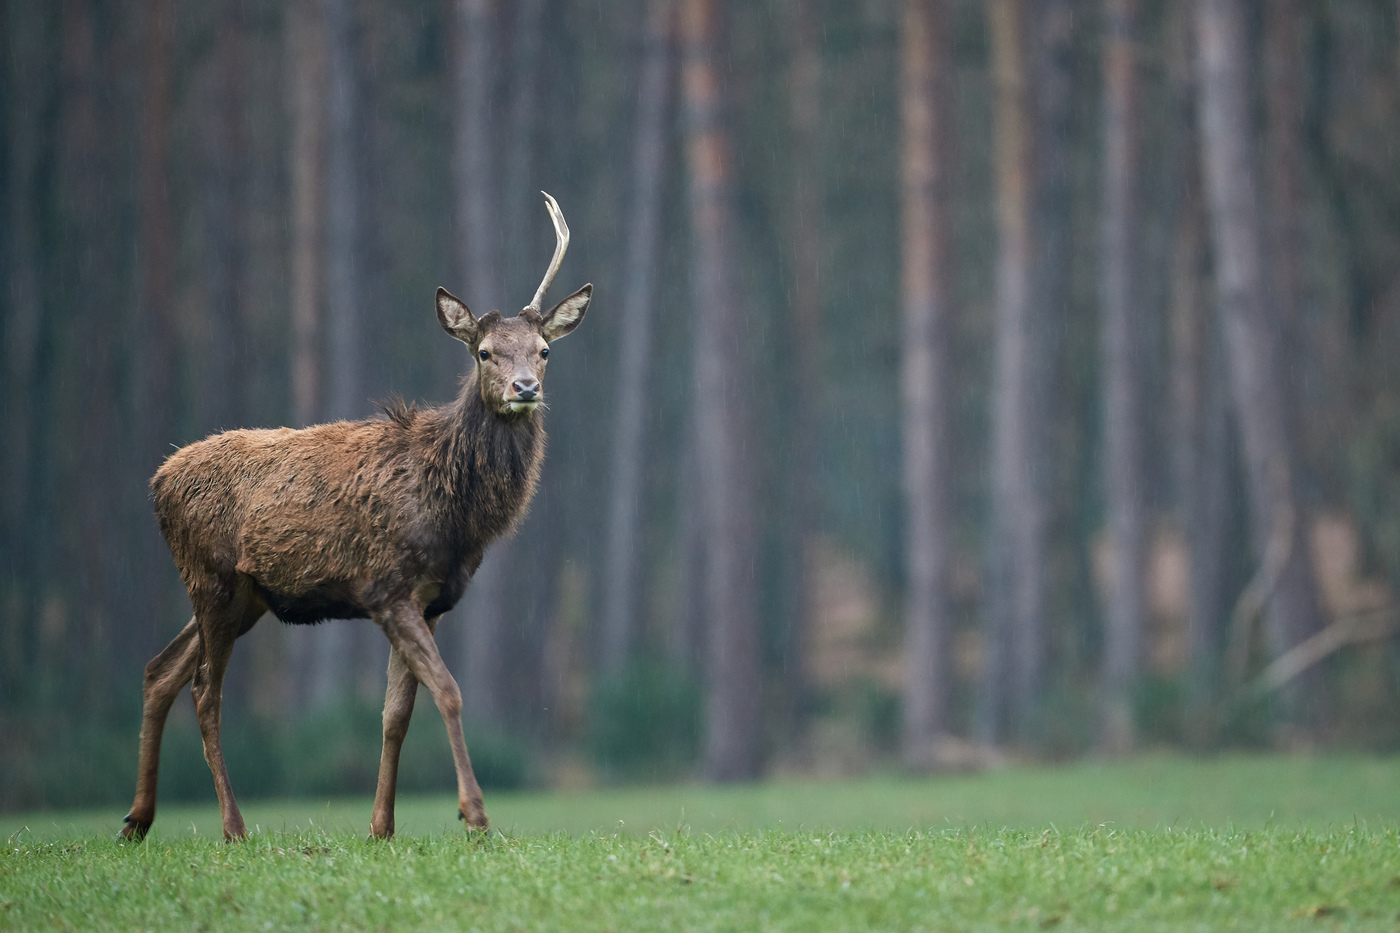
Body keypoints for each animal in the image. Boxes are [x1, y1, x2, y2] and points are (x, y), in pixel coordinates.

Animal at [113, 191, 585, 840]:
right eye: (485, 352)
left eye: (544, 350)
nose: (525, 388)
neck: (455, 514)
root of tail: (157, 482)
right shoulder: (387, 586)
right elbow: (449, 691)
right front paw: (475, 816)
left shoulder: (430, 601)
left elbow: (396, 713)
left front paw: (381, 826)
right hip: (211, 577)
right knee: (205, 690)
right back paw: (233, 826)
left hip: (245, 595)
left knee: (160, 671)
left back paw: (137, 819)